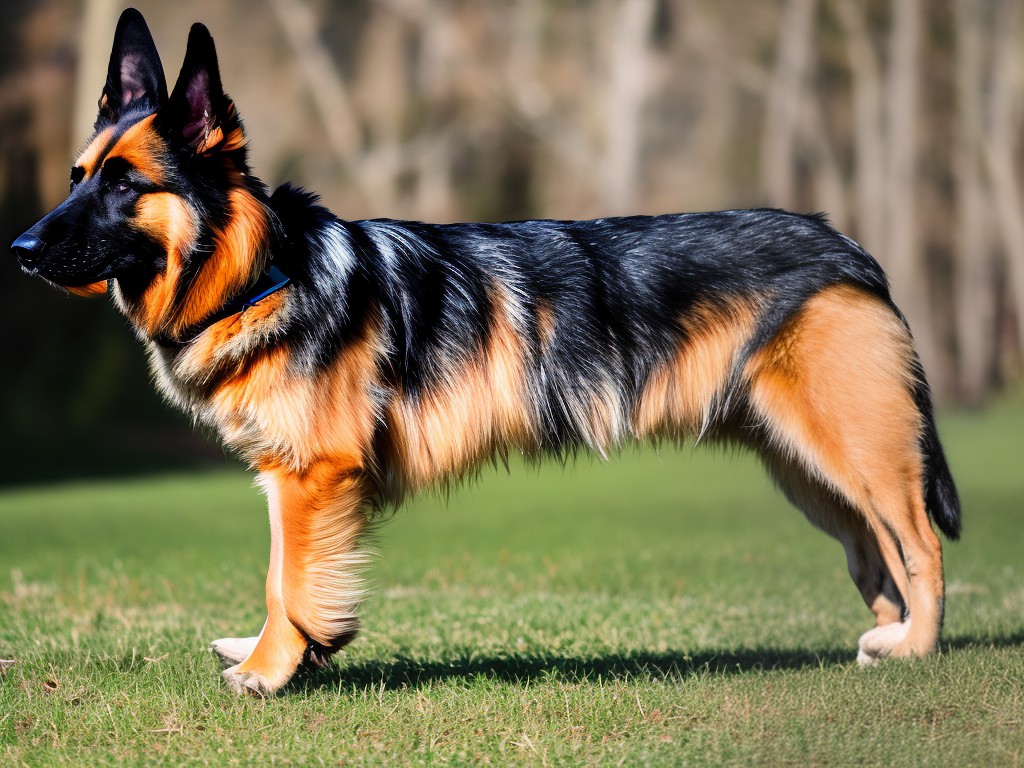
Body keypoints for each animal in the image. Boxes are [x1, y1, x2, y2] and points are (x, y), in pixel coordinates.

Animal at [9, 10, 958, 696]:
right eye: (78, 176)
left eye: (126, 183)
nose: (18, 249)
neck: (262, 268)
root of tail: (848, 247)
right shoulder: (292, 481)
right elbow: (291, 579)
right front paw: (292, 653)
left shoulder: (311, 477)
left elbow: (291, 583)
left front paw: (271, 671)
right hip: (806, 465)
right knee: (874, 556)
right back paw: (886, 641)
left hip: (859, 451)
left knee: (921, 547)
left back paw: (917, 647)